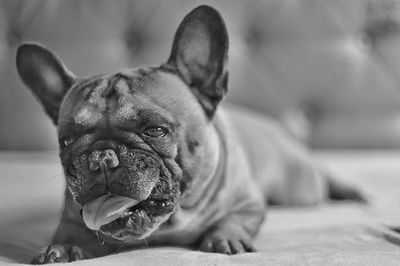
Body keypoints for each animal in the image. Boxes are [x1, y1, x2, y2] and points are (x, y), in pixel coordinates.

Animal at [15, 4, 360, 264]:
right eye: (67, 141)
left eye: (155, 130)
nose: (101, 157)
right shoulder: (72, 216)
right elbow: (70, 232)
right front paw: (61, 247)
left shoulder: (248, 205)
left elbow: (233, 219)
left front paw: (228, 237)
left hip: (300, 187)